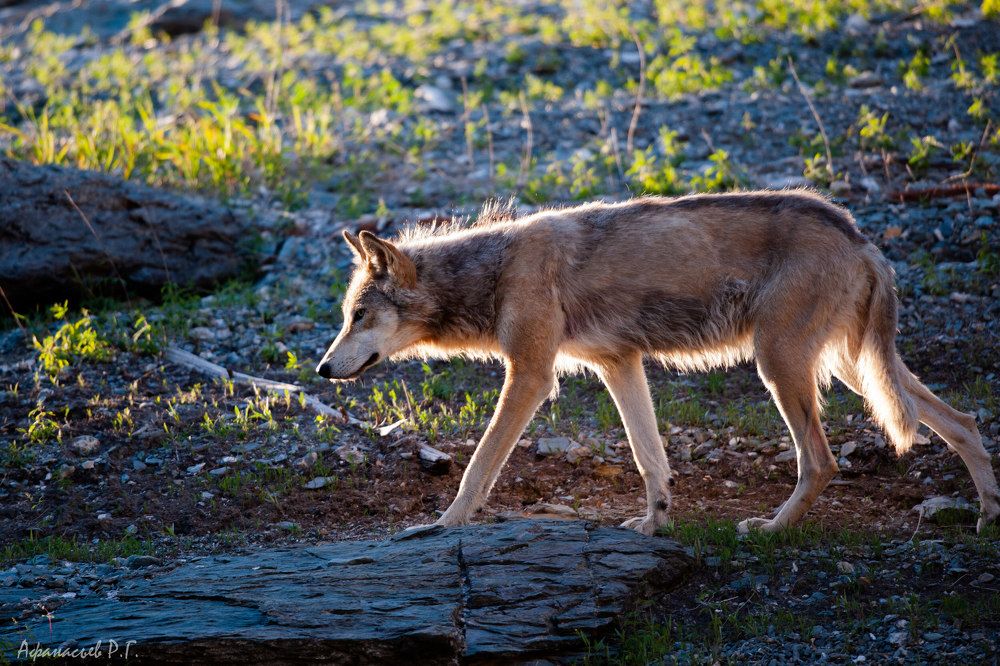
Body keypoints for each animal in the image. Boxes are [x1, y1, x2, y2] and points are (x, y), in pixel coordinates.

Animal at [317, 192, 1000, 535]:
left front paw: (440, 525)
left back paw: (771, 529)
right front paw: (652, 523)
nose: (322, 369)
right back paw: (988, 515)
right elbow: (651, 461)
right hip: (855, 370)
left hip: (782, 367)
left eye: (357, 315)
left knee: (823, 462)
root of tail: (861, 236)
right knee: (964, 422)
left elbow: (478, 468)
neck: (498, 268)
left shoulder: (531, 377)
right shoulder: (619, 365)